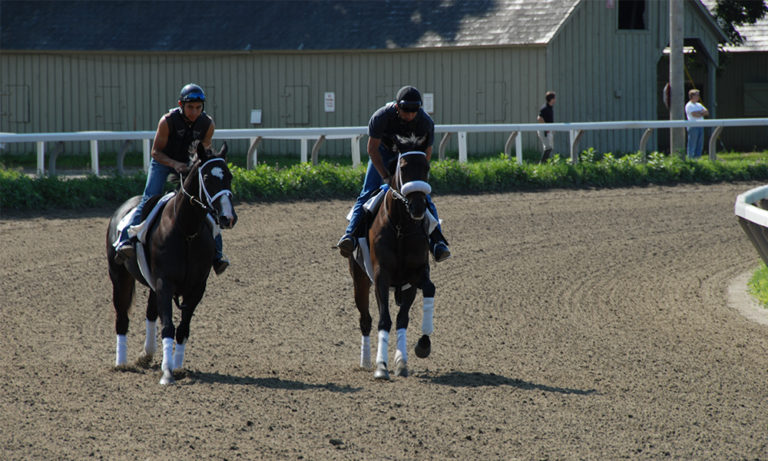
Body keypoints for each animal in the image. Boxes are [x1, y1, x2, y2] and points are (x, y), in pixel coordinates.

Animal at [106, 142, 237, 382]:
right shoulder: (165, 282)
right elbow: (168, 326)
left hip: (151, 284)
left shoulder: (196, 287)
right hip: (119, 275)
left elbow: (183, 328)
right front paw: (167, 372)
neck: (185, 231)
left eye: (229, 176)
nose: (228, 217)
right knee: (121, 315)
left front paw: (177, 367)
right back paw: (121, 363)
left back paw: (147, 354)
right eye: (207, 176)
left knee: (150, 313)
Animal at [348, 151, 438, 378]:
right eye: (403, 168)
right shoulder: (381, 275)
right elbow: (384, 320)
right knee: (365, 320)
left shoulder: (413, 277)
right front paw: (381, 366)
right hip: (360, 280)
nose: (418, 207)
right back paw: (366, 361)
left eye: (426, 167)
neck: (400, 228)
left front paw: (412, 353)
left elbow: (405, 315)